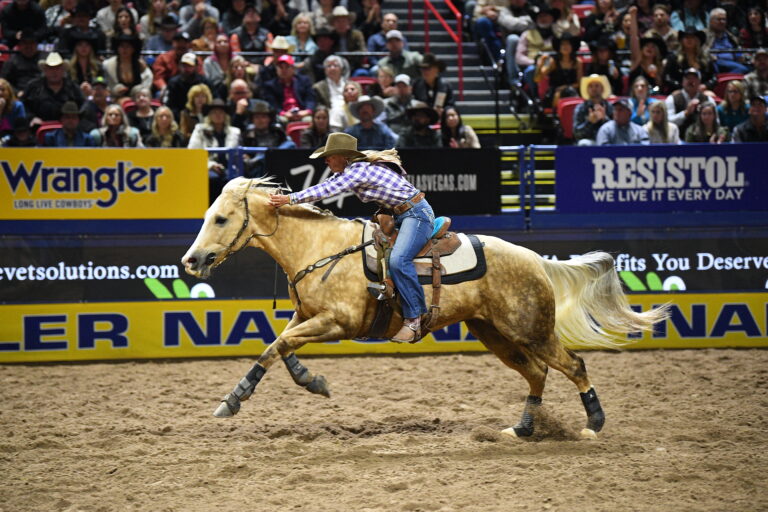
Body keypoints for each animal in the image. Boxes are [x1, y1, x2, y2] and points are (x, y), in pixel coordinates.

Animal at [182, 177, 668, 439]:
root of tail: (535, 259)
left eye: (221, 218)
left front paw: (232, 401)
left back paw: (594, 423)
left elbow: (275, 348)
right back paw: (523, 428)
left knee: (574, 365)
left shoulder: (337, 322)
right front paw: (312, 381)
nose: (191, 260)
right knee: (538, 373)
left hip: (531, 330)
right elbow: (280, 346)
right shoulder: (308, 317)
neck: (319, 248)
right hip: (494, 334)